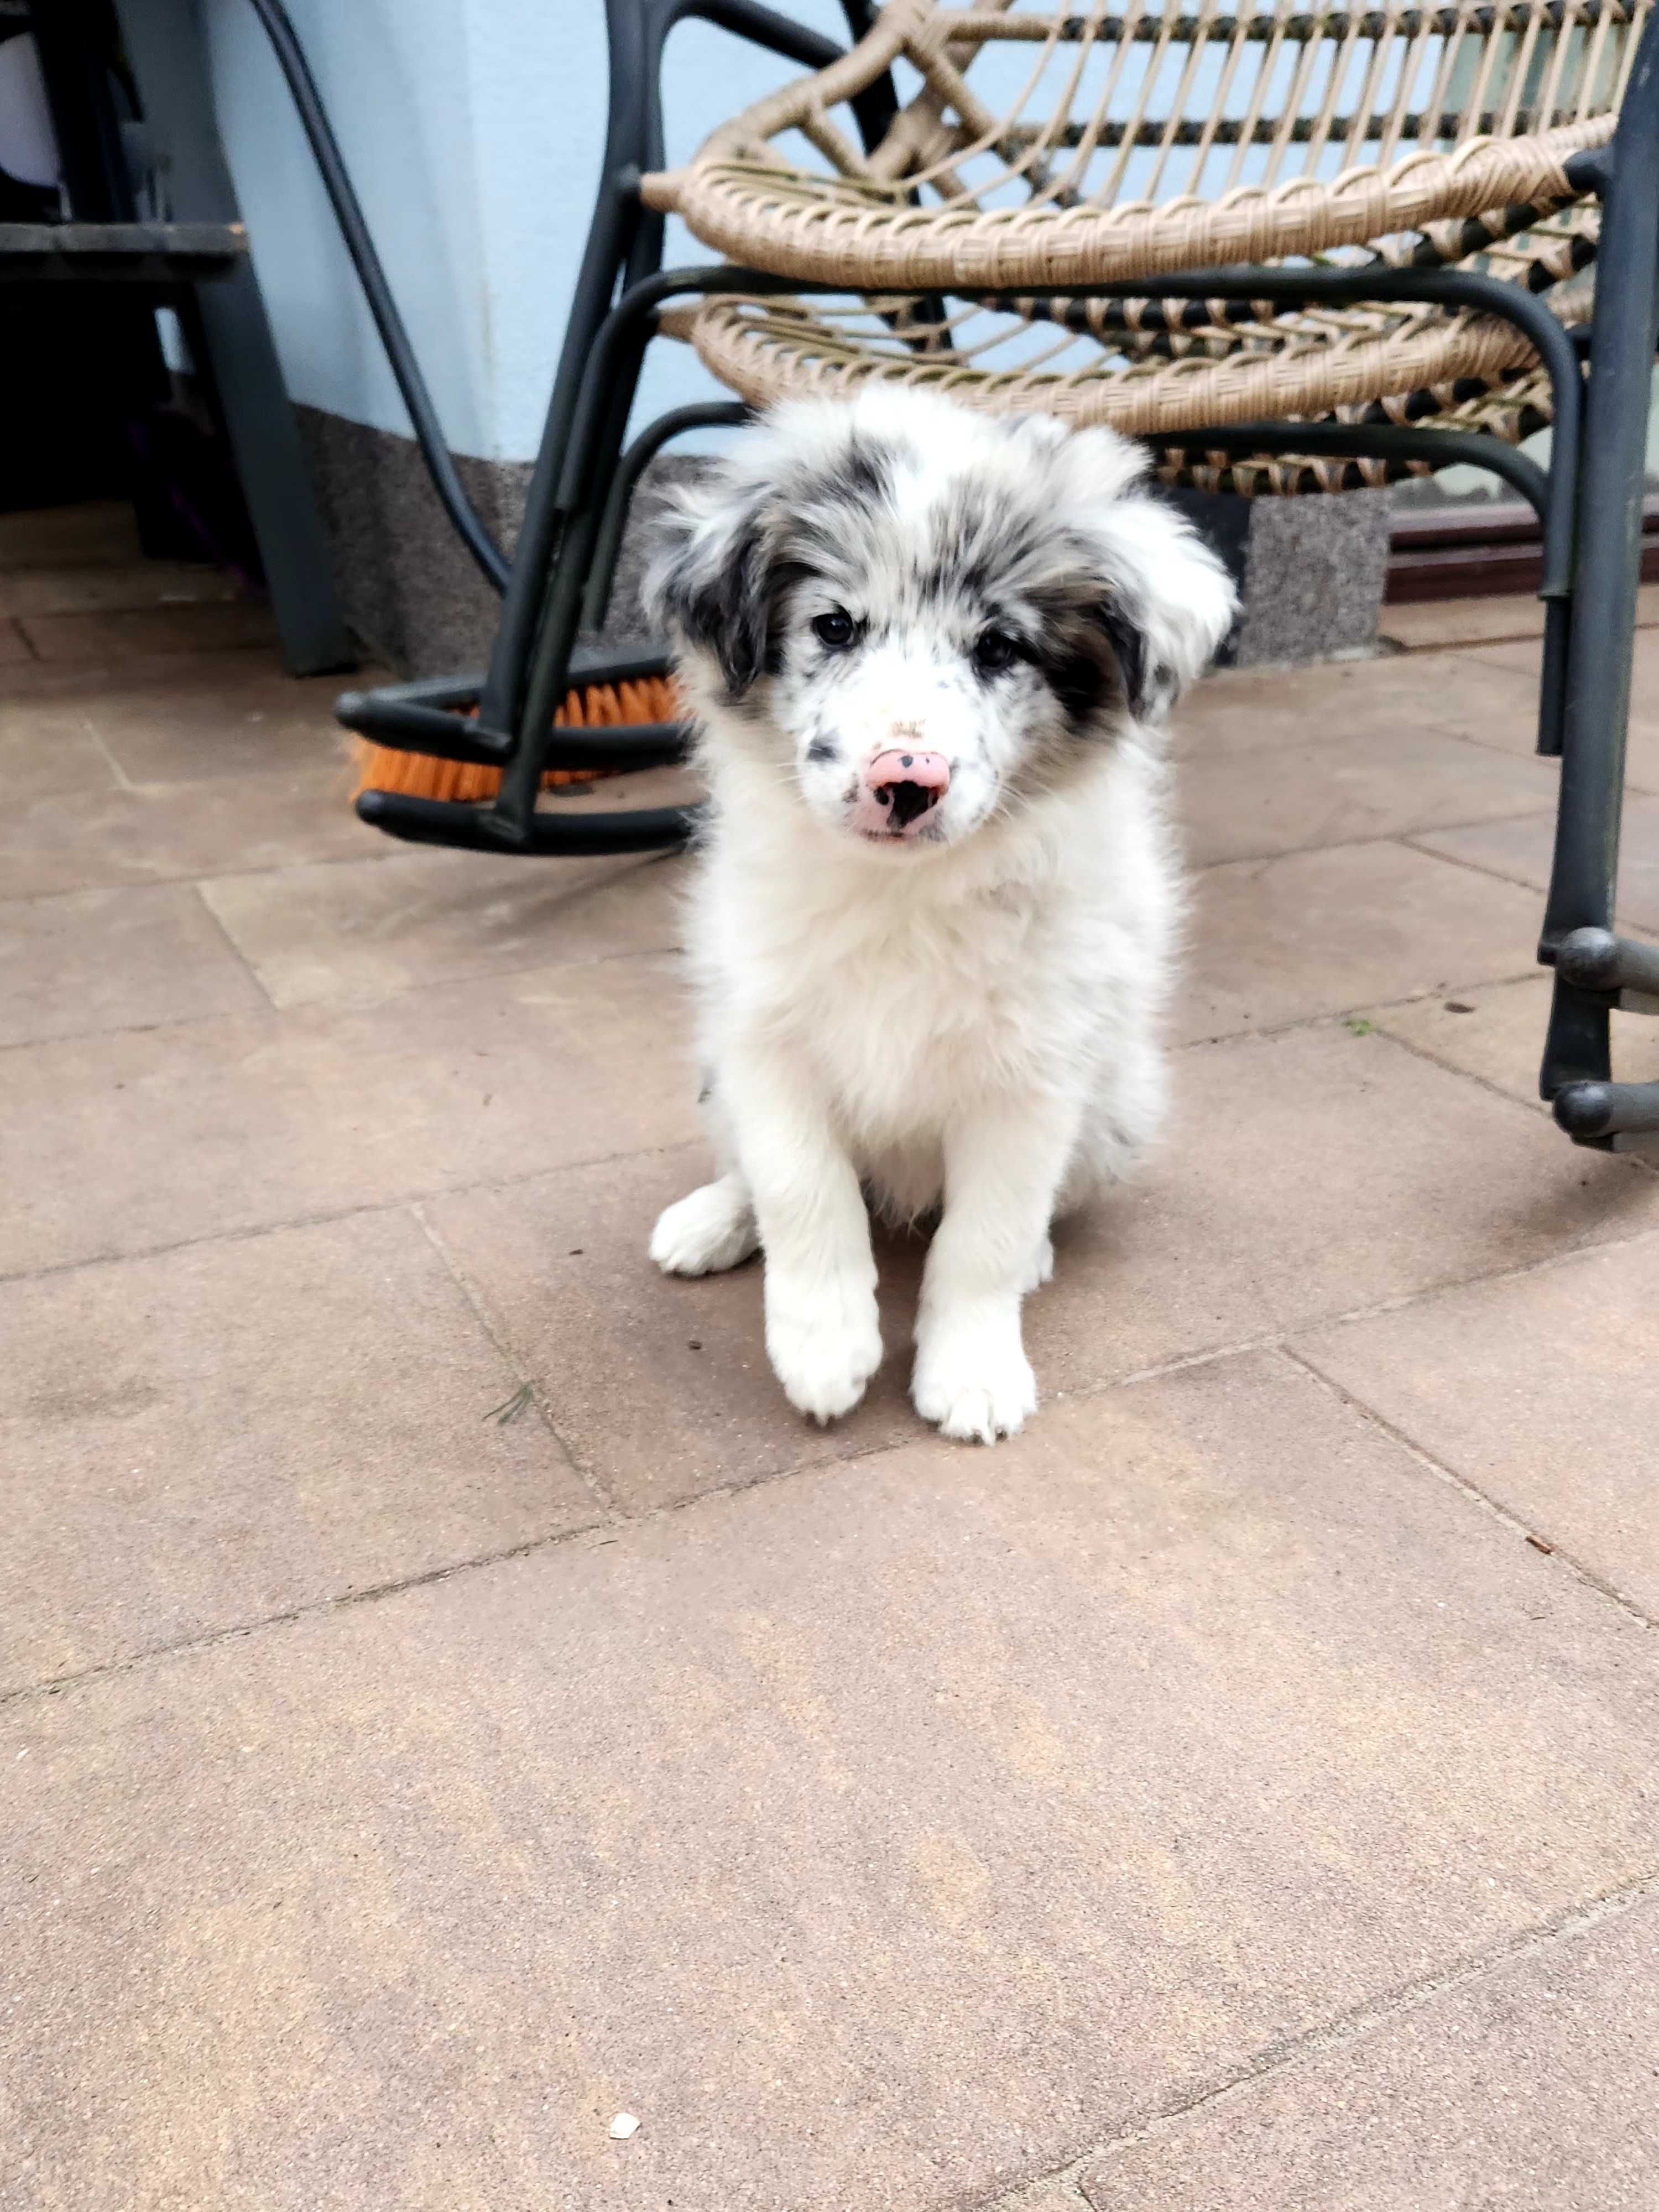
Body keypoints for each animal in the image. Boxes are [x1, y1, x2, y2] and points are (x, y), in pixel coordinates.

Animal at [641, 389, 1239, 1442]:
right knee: (746, 1167)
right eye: (835, 625)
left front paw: (973, 1374)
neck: (905, 896)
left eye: (999, 646)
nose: (905, 780)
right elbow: (801, 1188)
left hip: (1119, 1108)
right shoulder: (764, 1036)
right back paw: (712, 1221)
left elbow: (985, 1236)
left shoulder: (1034, 1075)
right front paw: (824, 1349)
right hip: (713, 1071)